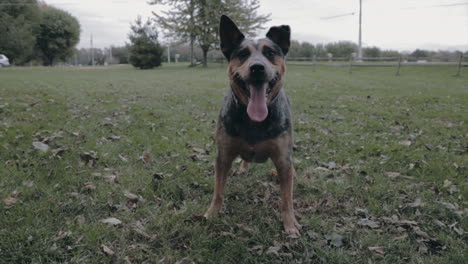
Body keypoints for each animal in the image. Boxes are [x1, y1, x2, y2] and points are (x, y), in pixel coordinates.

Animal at [202, 14, 298, 237]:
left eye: (270, 53)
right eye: (242, 54)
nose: (257, 68)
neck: (254, 120)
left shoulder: (283, 159)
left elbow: (286, 199)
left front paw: (289, 224)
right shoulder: (223, 156)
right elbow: (218, 191)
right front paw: (212, 213)